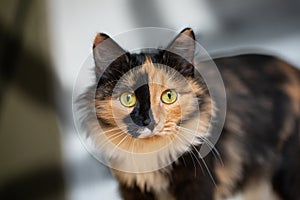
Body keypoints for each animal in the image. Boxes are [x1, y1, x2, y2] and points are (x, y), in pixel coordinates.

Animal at [84, 28, 300, 200]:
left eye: (168, 96)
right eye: (128, 98)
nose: (149, 122)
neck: (152, 155)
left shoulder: (198, 182)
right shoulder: (132, 188)